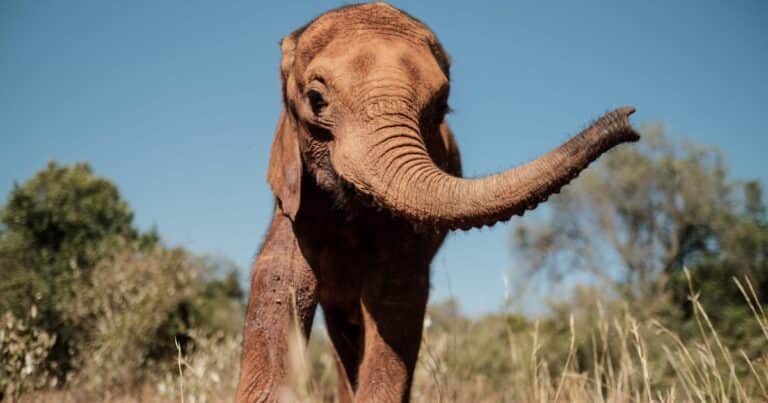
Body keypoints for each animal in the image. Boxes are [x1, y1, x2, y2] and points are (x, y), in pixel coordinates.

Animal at [236, 3, 639, 402]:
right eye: (315, 100)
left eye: (441, 109)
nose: (630, 121)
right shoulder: (295, 191)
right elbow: (282, 278)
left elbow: (394, 294)